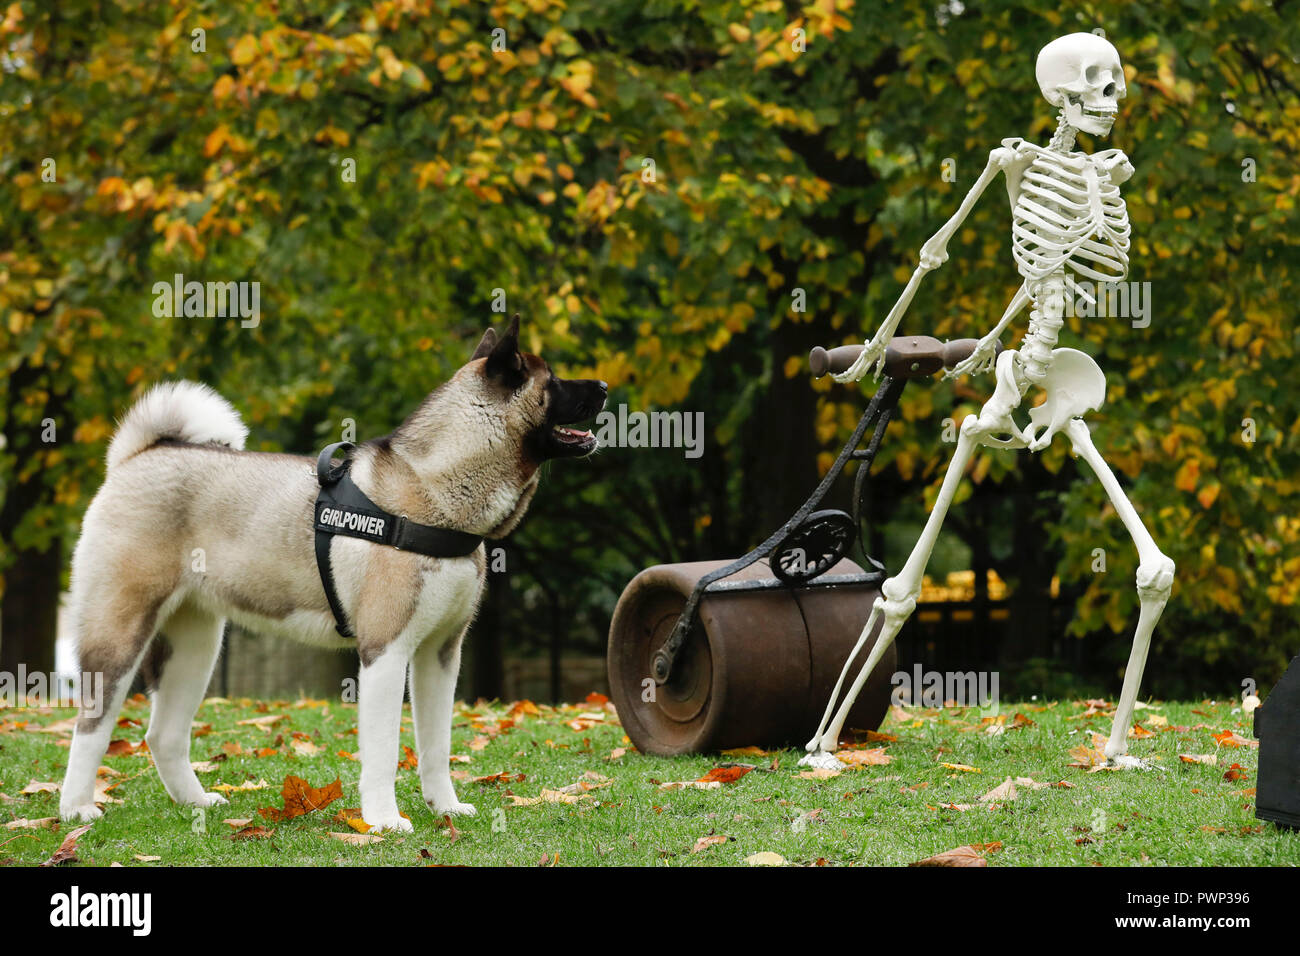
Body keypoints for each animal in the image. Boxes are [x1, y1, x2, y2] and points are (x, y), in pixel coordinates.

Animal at [61, 319, 608, 832]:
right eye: (553, 381)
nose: (603, 385)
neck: (435, 492)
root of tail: (138, 457)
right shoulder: (385, 652)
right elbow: (385, 751)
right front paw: (384, 821)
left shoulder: (440, 654)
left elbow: (435, 746)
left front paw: (445, 808)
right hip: (120, 632)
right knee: (91, 723)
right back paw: (76, 809)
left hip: (194, 646)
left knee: (163, 734)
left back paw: (195, 803)